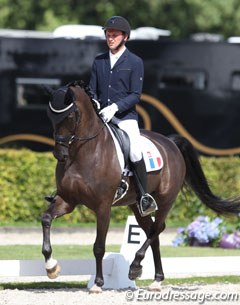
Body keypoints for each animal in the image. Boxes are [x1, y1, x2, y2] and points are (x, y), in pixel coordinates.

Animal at [42, 81, 240, 292]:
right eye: (50, 116)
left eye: (70, 116)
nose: (60, 154)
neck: (84, 152)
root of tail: (171, 143)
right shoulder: (67, 200)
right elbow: (46, 219)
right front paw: (51, 267)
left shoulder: (103, 206)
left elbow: (99, 246)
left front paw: (98, 284)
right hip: (137, 205)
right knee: (153, 232)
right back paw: (156, 279)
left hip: (165, 200)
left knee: (157, 229)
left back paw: (136, 267)